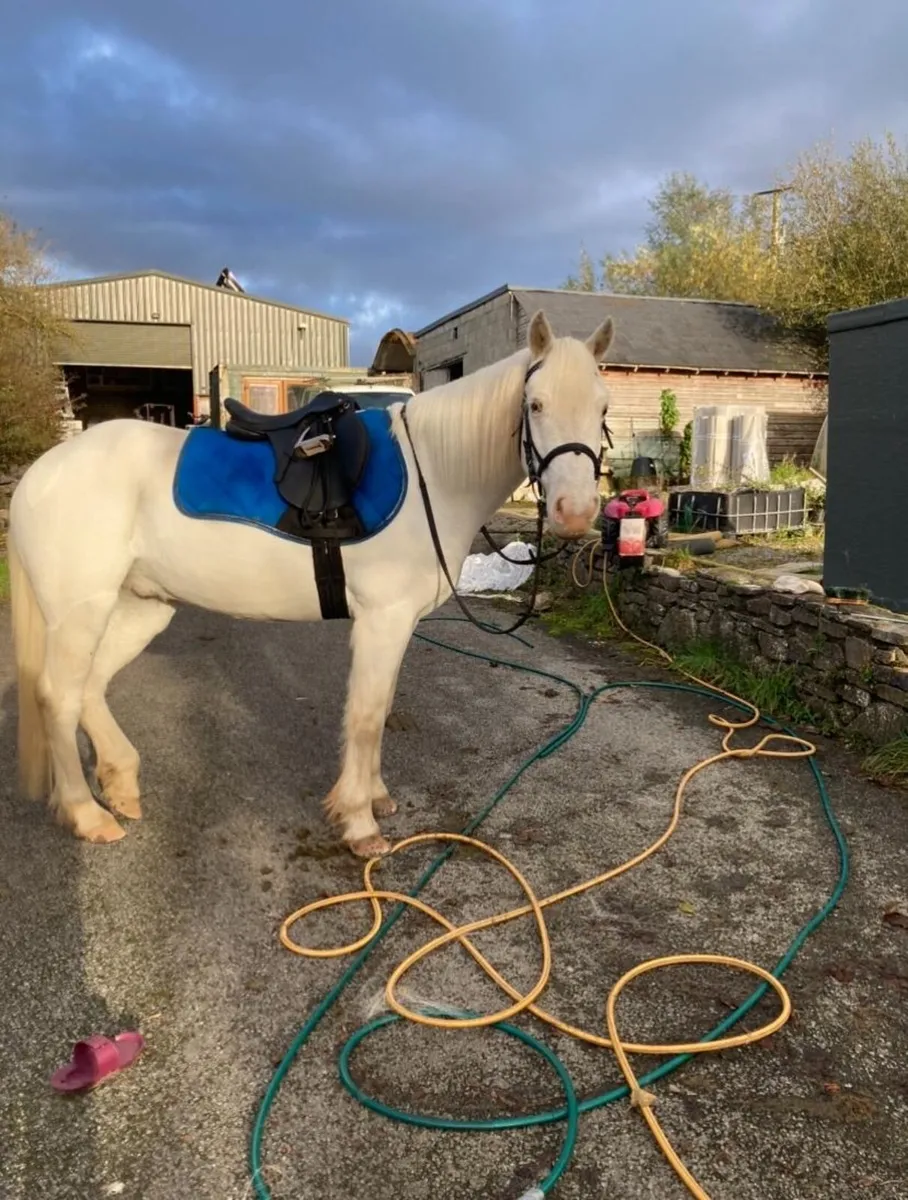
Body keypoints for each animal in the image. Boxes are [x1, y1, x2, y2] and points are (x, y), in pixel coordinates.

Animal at [8, 309, 614, 858]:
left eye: (603, 406)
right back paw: (87, 815)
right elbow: (366, 717)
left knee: (90, 688)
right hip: (81, 613)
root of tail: (40, 473)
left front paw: (376, 798)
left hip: (141, 607)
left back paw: (121, 786)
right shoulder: (382, 619)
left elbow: (381, 706)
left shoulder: (396, 624)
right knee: (58, 696)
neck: (434, 473)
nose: (576, 512)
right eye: (536, 405)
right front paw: (359, 823)